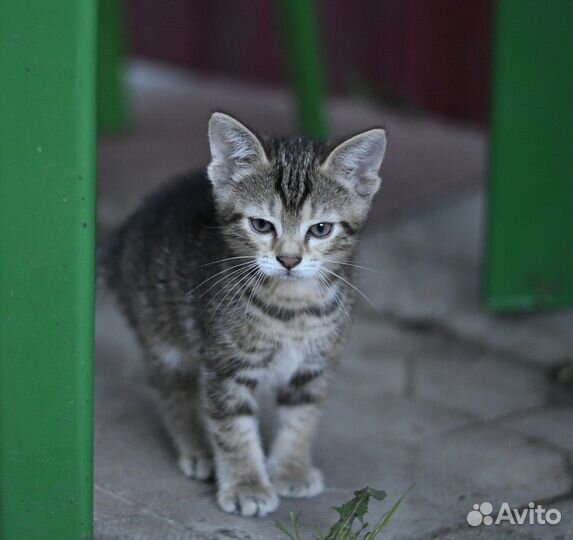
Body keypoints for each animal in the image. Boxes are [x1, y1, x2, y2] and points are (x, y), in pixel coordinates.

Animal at [100, 112, 386, 516]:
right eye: (261, 225)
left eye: (321, 229)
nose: (289, 260)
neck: (292, 310)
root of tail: (125, 231)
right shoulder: (225, 366)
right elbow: (233, 429)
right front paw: (247, 485)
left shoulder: (315, 366)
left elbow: (303, 418)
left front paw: (291, 470)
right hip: (163, 336)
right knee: (174, 392)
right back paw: (197, 448)